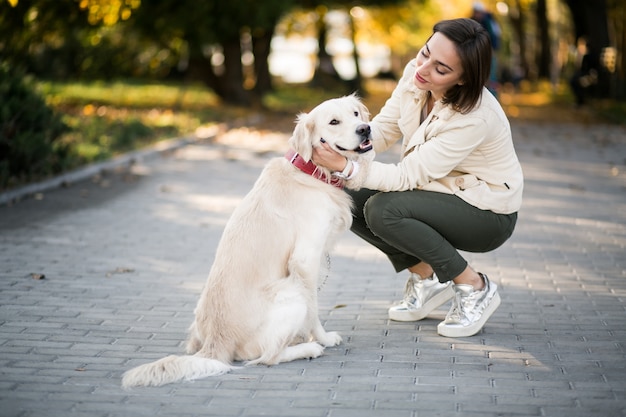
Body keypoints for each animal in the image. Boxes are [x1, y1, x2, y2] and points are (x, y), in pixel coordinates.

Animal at [123, 94, 376, 386]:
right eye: (334, 122)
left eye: (355, 113)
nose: (365, 129)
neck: (310, 170)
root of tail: (216, 343)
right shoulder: (305, 260)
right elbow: (313, 309)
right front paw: (322, 338)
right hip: (291, 292)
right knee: (268, 357)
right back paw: (307, 348)